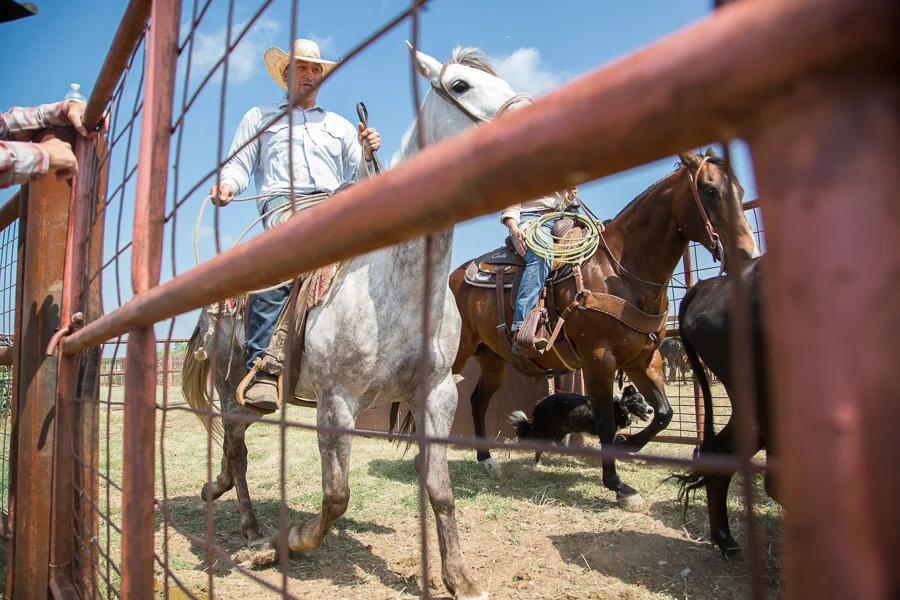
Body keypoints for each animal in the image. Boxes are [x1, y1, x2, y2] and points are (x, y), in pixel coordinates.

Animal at [181, 44, 532, 600]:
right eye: (459, 85)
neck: (397, 287)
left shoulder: (437, 394)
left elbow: (440, 490)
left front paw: (459, 577)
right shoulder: (337, 402)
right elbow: (336, 496)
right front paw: (282, 545)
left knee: (235, 445)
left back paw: (219, 492)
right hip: (228, 383)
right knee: (236, 447)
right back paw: (252, 530)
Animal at [508, 385, 654, 464]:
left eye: (645, 401)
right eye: (637, 401)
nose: (651, 410)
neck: (618, 407)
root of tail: (541, 403)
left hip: (565, 428)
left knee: (559, 440)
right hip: (551, 429)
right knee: (543, 444)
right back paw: (538, 463)